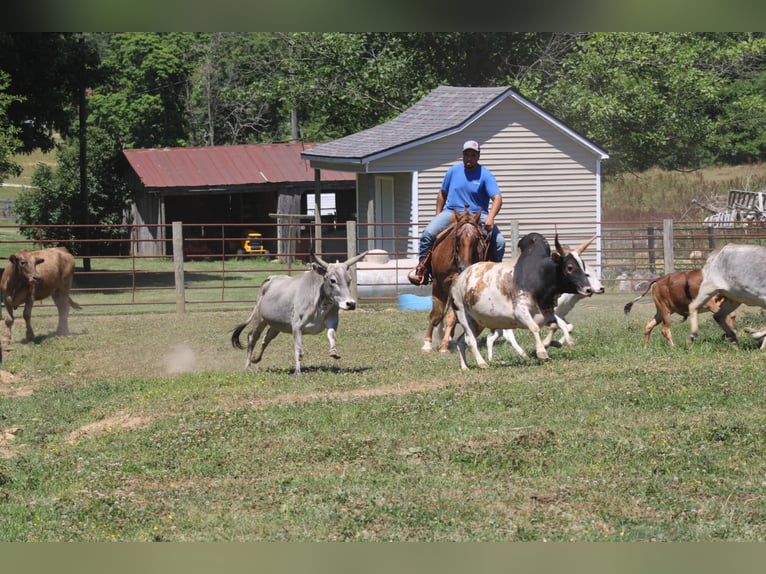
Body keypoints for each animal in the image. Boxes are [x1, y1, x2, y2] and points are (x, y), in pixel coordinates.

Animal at [231, 251, 368, 376]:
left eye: (349, 280)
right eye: (333, 280)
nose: (350, 304)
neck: (318, 302)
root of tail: (270, 279)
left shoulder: (332, 321)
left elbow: (332, 335)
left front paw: (333, 351)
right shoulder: (296, 327)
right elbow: (299, 350)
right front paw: (297, 372)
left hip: (276, 325)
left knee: (267, 338)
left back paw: (256, 358)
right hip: (259, 319)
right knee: (252, 338)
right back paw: (248, 366)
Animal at [424, 205, 488, 354]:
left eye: (477, 238)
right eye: (458, 237)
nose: (464, 267)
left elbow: (452, 317)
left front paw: (444, 345)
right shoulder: (438, 284)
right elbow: (436, 314)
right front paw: (427, 343)